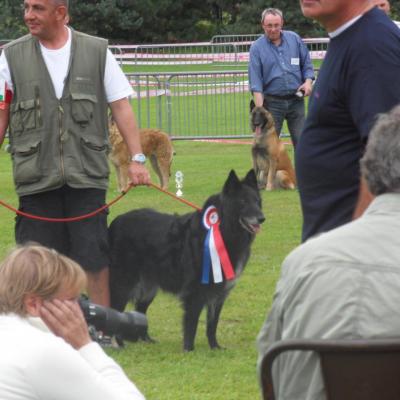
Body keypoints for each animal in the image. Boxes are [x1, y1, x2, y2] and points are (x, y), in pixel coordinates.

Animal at [109, 170, 266, 352]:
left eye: (257, 201)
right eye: (243, 201)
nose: (261, 218)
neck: (221, 229)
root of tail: (115, 222)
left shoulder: (219, 292)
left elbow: (212, 324)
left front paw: (215, 347)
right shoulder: (195, 291)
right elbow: (192, 322)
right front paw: (188, 349)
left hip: (149, 287)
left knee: (140, 310)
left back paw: (146, 339)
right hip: (124, 283)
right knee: (115, 310)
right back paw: (118, 344)